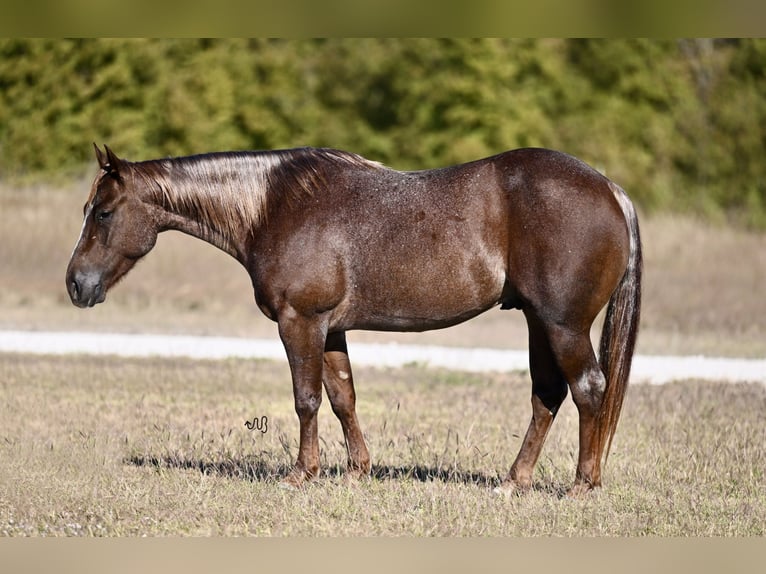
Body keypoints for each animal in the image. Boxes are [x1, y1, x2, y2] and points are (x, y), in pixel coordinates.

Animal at [66, 143, 640, 496]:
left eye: (104, 213)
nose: (76, 284)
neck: (274, 206)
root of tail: (611, 190)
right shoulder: (331, 328)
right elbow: (343, 397)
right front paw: (356, 471)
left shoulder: (299, 322)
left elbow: (306, 399)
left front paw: (303, 473)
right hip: (538, 322)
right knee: (548, 395)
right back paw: (513, 481)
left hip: (562, 326)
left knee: (587, 388)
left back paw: (582, 484)